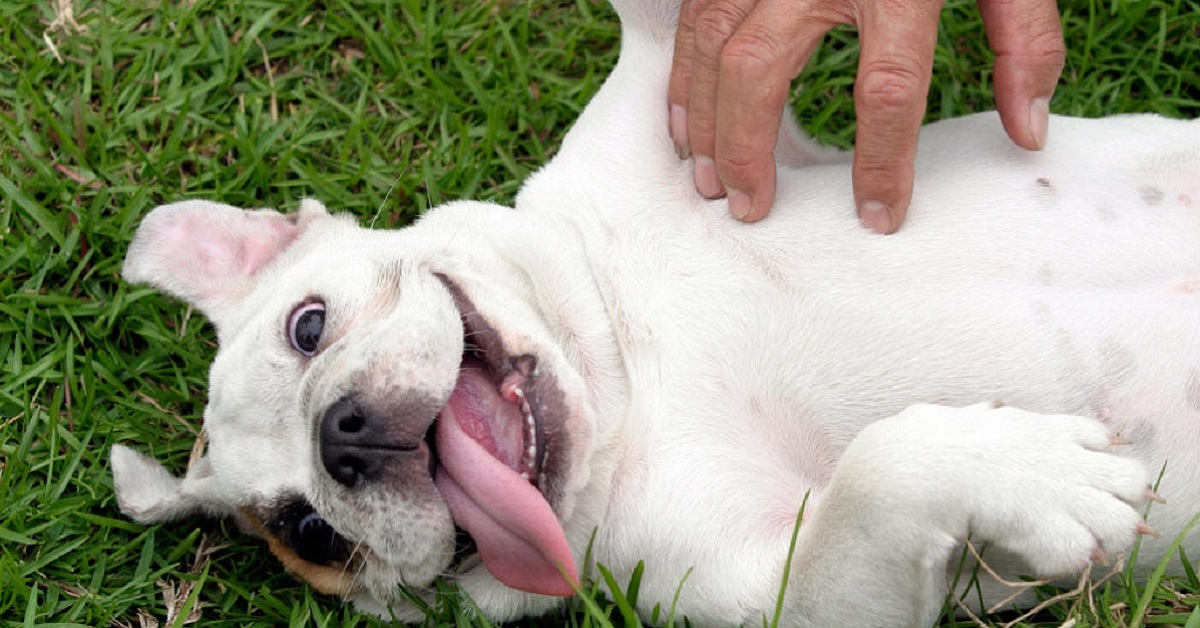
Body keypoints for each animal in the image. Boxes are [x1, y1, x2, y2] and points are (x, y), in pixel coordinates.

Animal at [110, 0, 1200, 624]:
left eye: (309, 324)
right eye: (313, 536)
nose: (344, 436)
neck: (623, 366)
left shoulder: (669, 93)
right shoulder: (768, 585)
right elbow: (871, 479)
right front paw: (1028, 472)